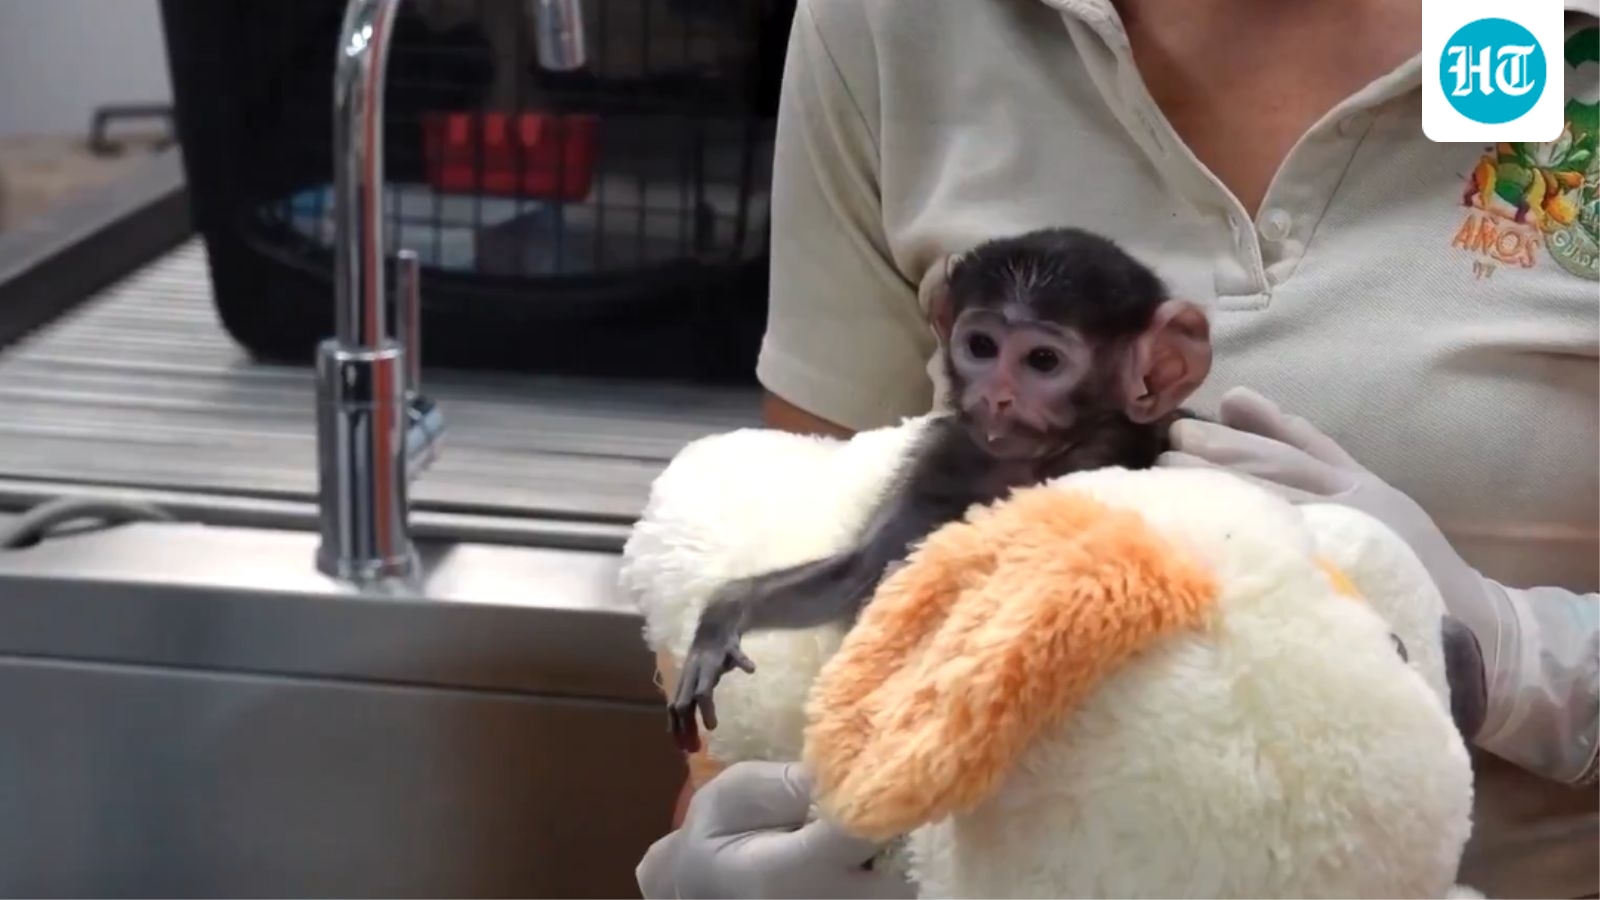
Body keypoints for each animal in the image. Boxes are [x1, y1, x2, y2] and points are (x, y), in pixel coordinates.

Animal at [666, 226, 1213, 753]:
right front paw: (720, 623)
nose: (996, 396)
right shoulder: (943, 455)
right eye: (982, 347)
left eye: (1042, 359)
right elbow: (856, 575)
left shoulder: (1100, 456)